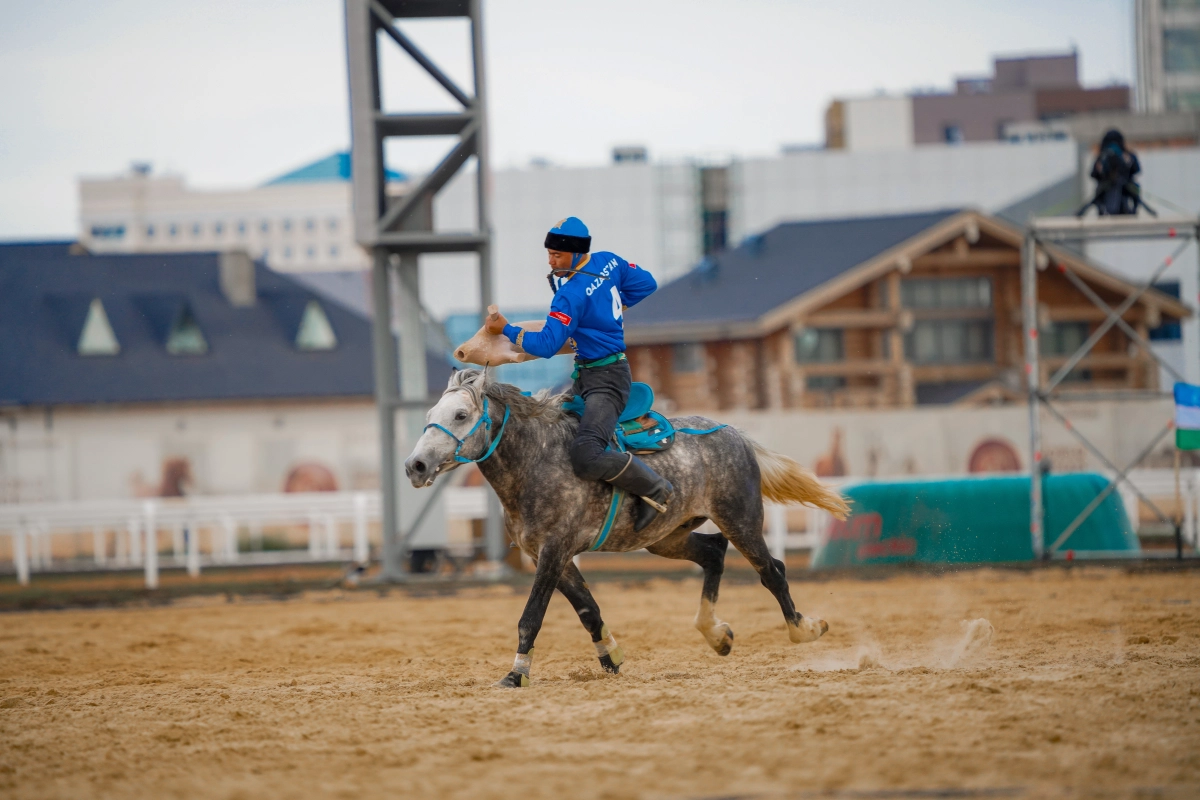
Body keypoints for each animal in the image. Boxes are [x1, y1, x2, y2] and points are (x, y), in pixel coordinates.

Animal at [408, 369, 849, 690]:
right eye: (429, 417)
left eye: (461, 416)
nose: (416, 465)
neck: (537, 459)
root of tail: (733, 433)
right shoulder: (548, 555)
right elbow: (588, 609)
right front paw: (610, 658)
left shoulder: (554, 550)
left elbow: (531, 616)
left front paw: (517, 674)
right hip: (667, 538)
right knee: (714, 553)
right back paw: (716, 634)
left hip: (740, 519)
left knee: (772, 571)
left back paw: (804, 629)